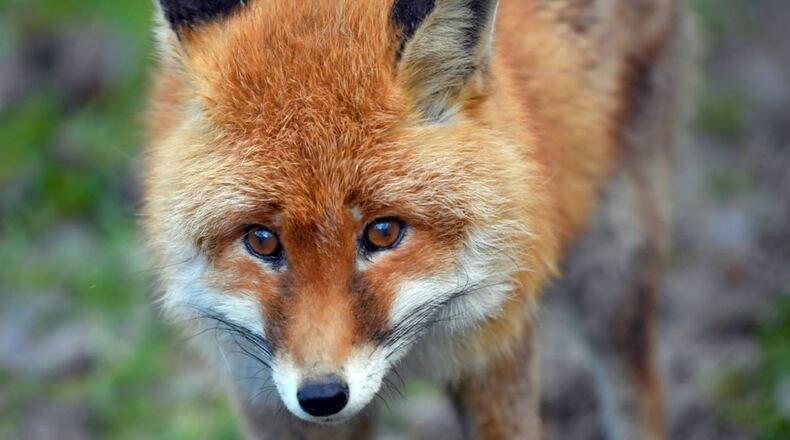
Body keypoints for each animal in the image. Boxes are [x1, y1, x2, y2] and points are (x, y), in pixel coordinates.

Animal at [143, 0, 694, 439]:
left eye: (383, 232)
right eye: (261, 240)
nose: (321, 396)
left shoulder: (497, 349)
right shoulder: (262, 395)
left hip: (615, 270)